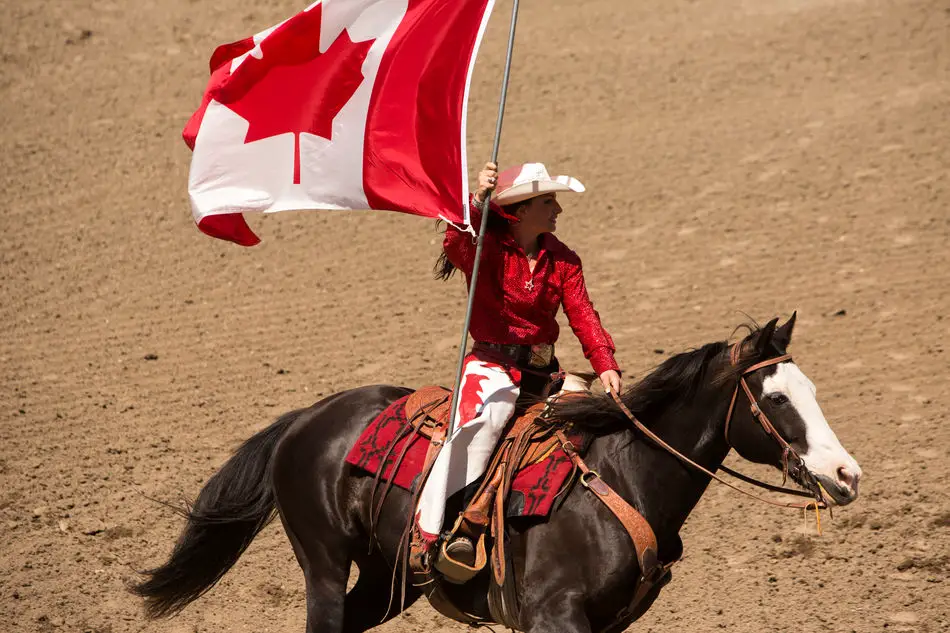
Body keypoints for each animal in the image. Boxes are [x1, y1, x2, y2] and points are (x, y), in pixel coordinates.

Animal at [130, 316, 868, 632]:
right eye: (778, 399)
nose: (847, 473)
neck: (620, 479)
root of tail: (305, 418)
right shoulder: (554, 616)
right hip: (323, 565)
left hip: (386, 579)